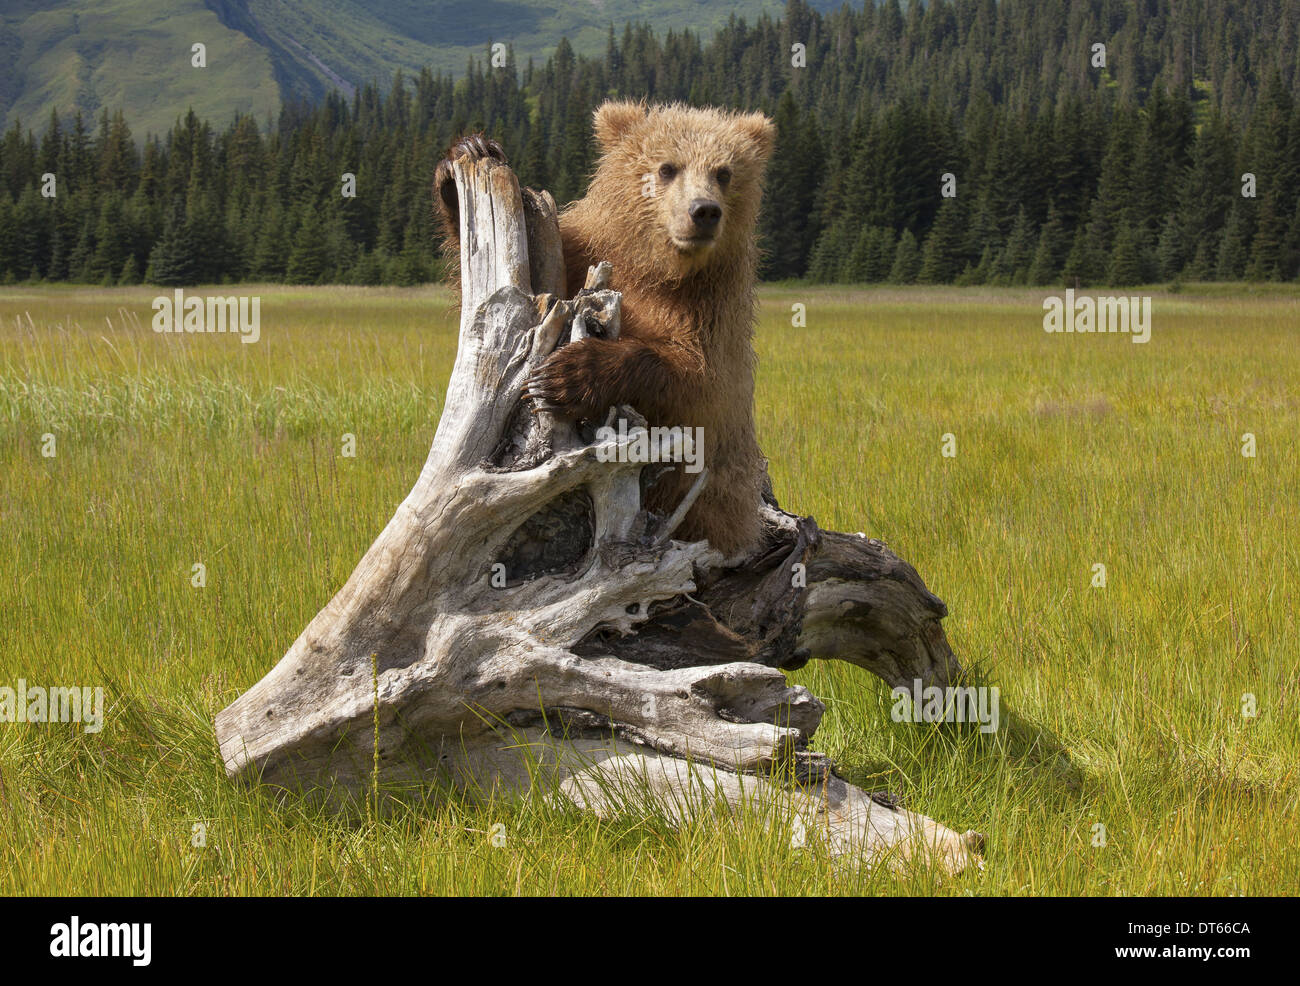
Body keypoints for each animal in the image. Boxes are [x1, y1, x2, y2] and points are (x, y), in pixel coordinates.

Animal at [441, 103, 774, 559]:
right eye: (668, 168)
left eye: (723, 172)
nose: (704, 211)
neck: (657, 268)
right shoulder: (583, 251)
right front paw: (471, 151)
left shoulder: (712, 309)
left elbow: (696, 380)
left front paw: (565, 376)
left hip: (718, 501)